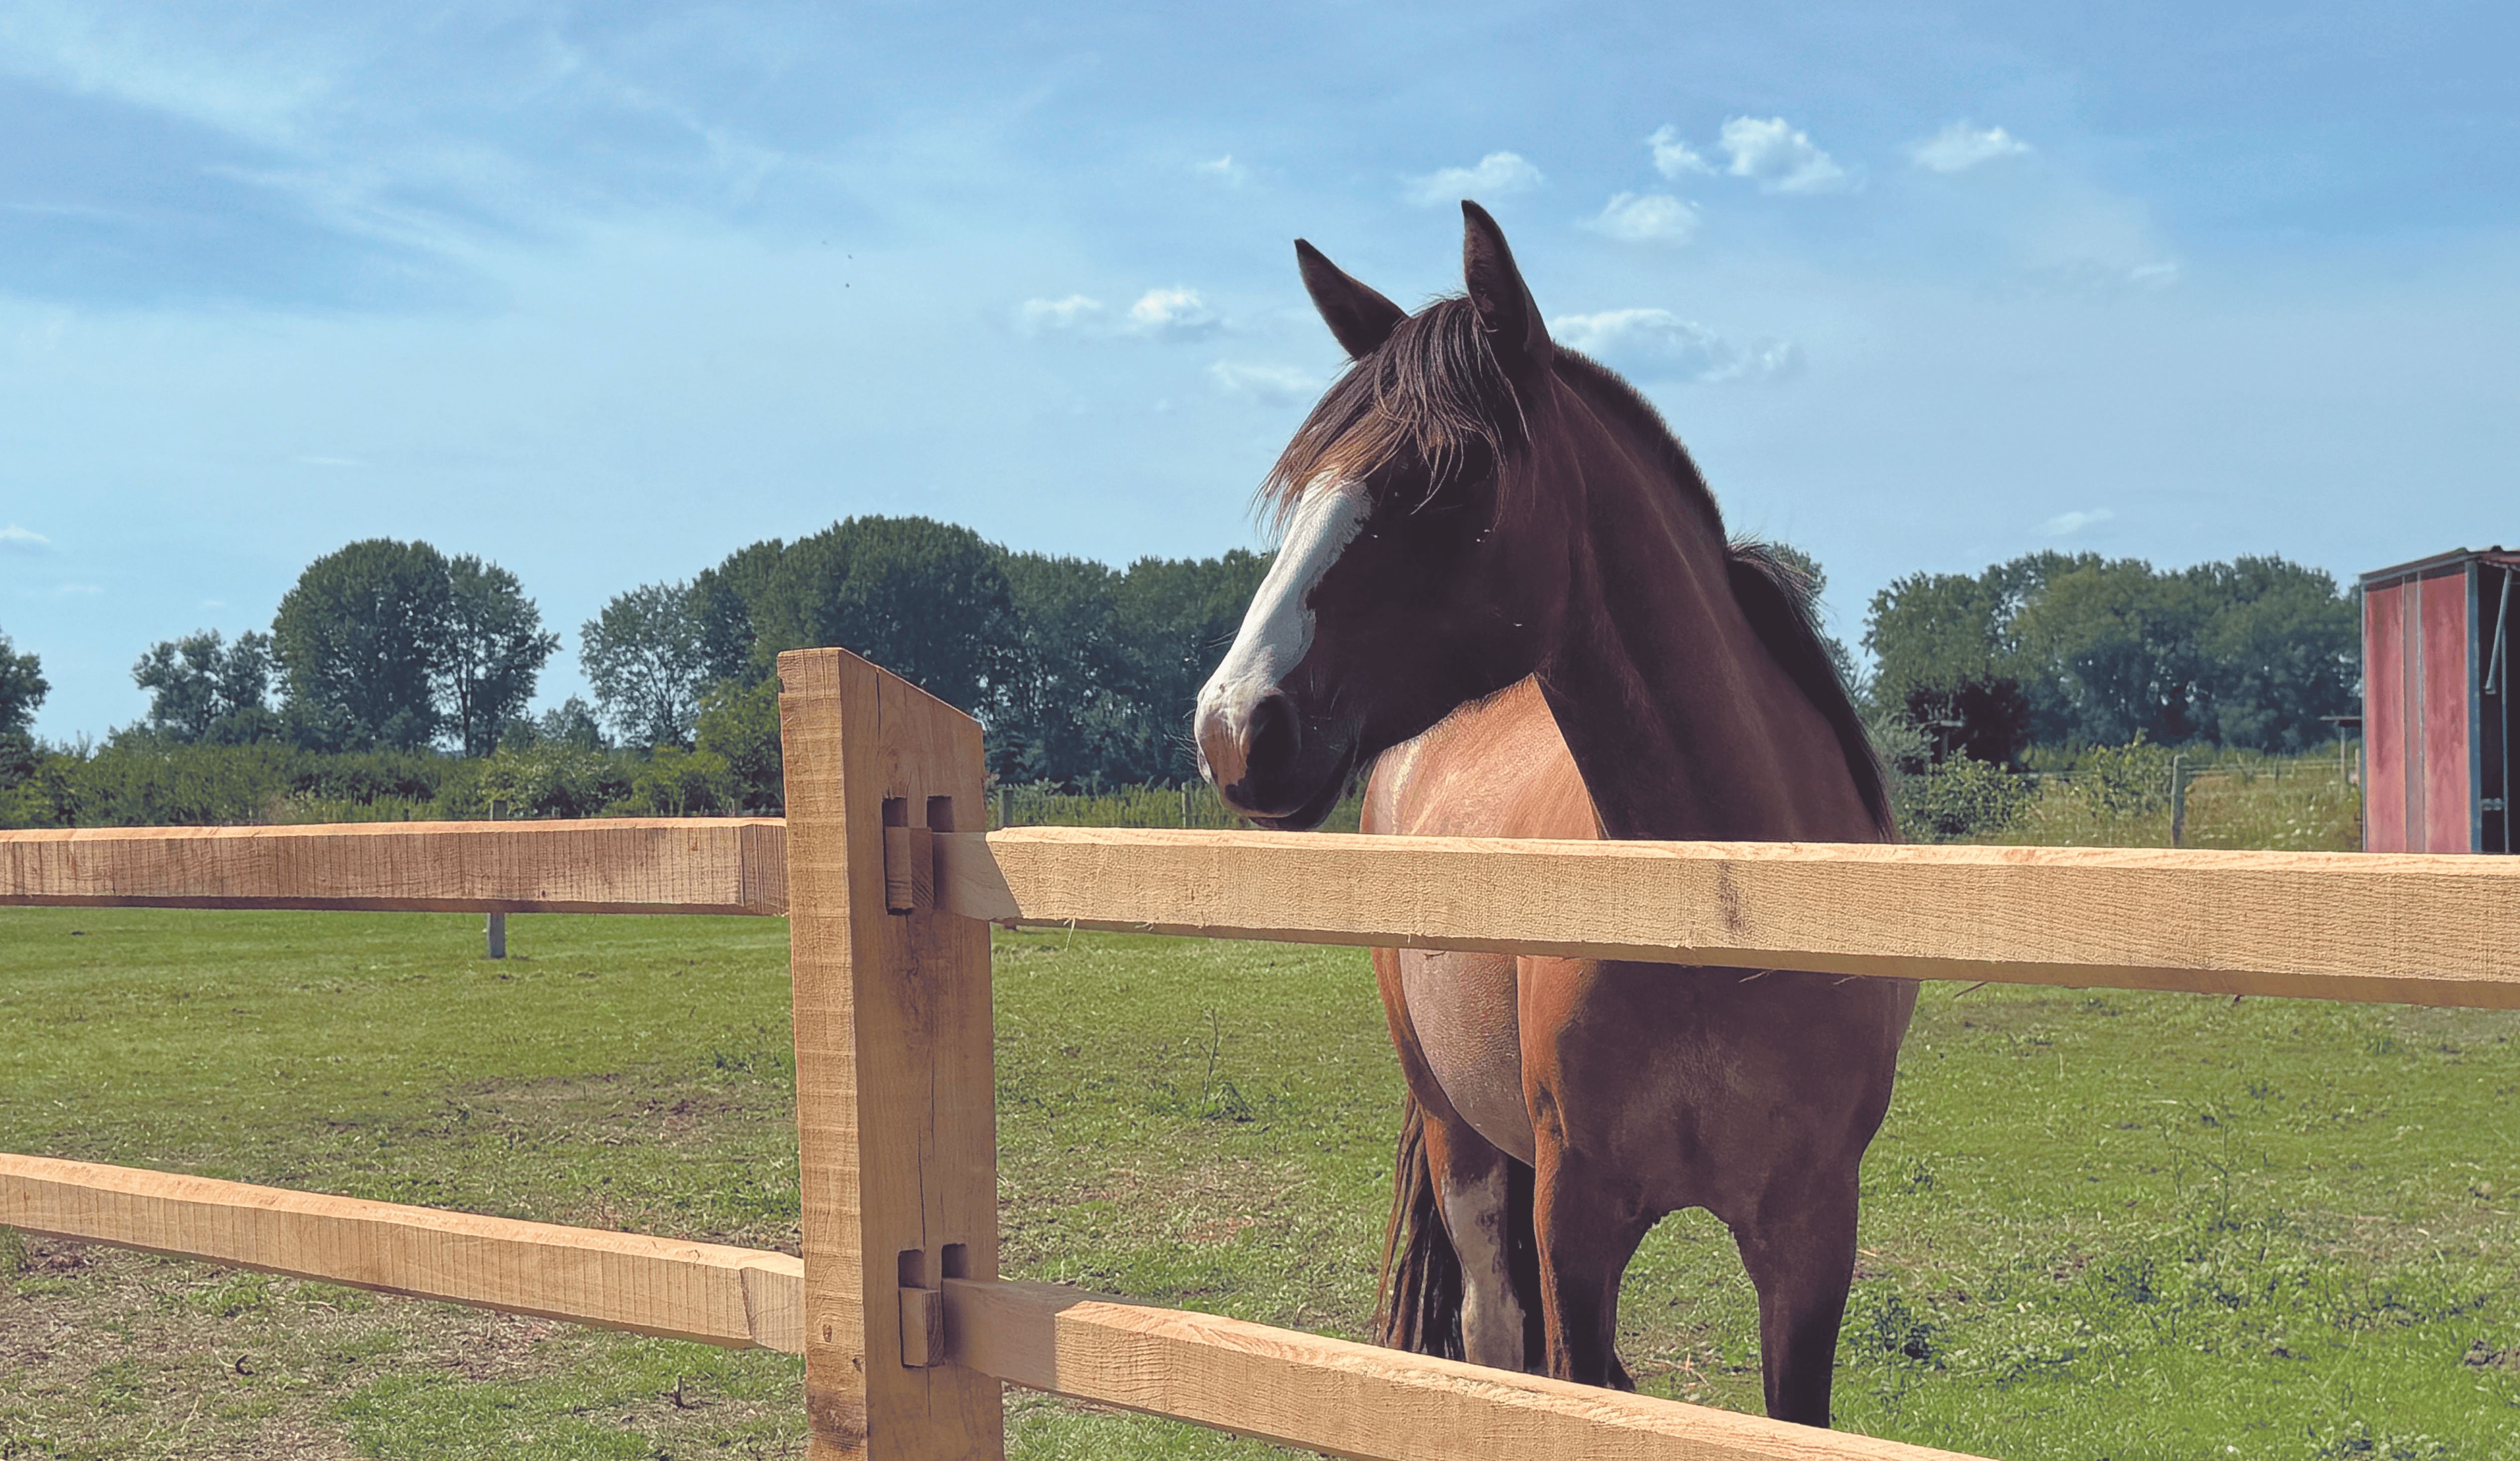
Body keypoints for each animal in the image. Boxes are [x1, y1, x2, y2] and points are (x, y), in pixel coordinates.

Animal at [1192, 202, 1915, 1427]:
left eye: (1445, 480)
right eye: (1307, 483)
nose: (1235, 725)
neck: (1723, 912)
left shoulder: (1813, 1233)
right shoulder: (1575, 1219)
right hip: (1461, 1138)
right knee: (1493, 1336)